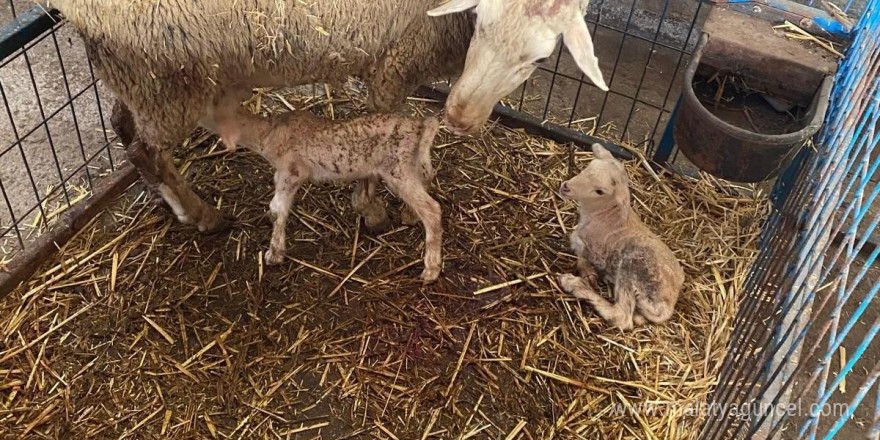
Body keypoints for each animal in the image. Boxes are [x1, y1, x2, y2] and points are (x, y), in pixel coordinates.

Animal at [46, 0, 604, 234]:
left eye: (540, 57)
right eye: (480, 21)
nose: (460, 116)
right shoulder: (394, 63)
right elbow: (380, 128)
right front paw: (373, 211)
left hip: (140, 79)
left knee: (123, 127)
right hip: (164, 80)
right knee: (146, 148)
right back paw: (202, 216)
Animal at [204, 94, 444, 284]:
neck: (268, 134)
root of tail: (422, 125)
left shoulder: (292, 171)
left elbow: (277, 209)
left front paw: (274, 254)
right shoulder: (281, 173)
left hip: (397, 168)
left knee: (432, 209)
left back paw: (431, 270)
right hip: (413, 163)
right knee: (427, 179)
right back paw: (410, 215)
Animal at [552, 144, 684, 330]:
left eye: (599, 191)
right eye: (588, 167)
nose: (566, 187)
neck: (605, 213)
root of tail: (667, 306)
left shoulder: (591, 247)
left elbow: (580, 252)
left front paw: (586, 274)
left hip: (632, 267)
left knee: (622, 317)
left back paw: (572, 283)